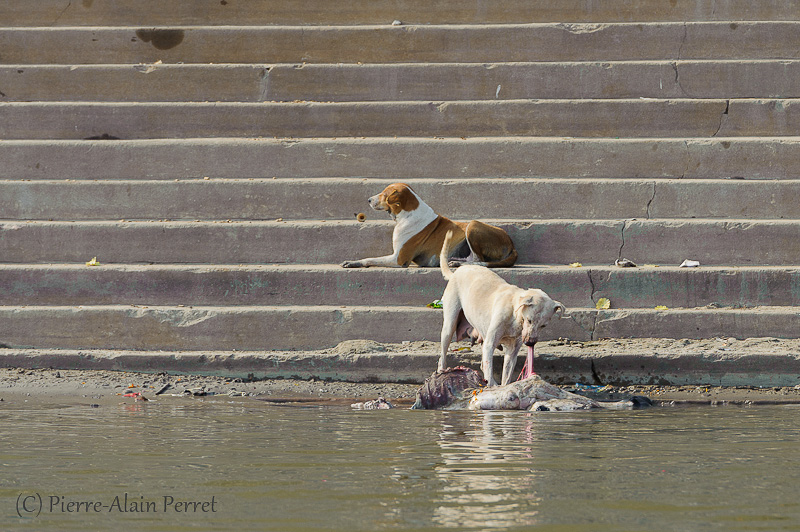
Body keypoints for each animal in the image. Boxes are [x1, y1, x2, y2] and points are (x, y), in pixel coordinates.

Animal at [340, 183, 516, 268]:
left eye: (384, 194)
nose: (368, 200)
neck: (407, 214)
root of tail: (511, 244)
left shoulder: (398, 259)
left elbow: (370, 258)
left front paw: (354, 262)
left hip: (472, 225)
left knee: (480, 260)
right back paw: (455, 262)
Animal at [440, 230, 564, 386]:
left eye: (544, 325)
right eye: (529, 320)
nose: (530, 343)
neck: (514, 314)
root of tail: (456, 272)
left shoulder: (512, 351)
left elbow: (506, 376)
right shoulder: (490, 344)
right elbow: (489, 367)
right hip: (449, 325)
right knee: (443, 355)